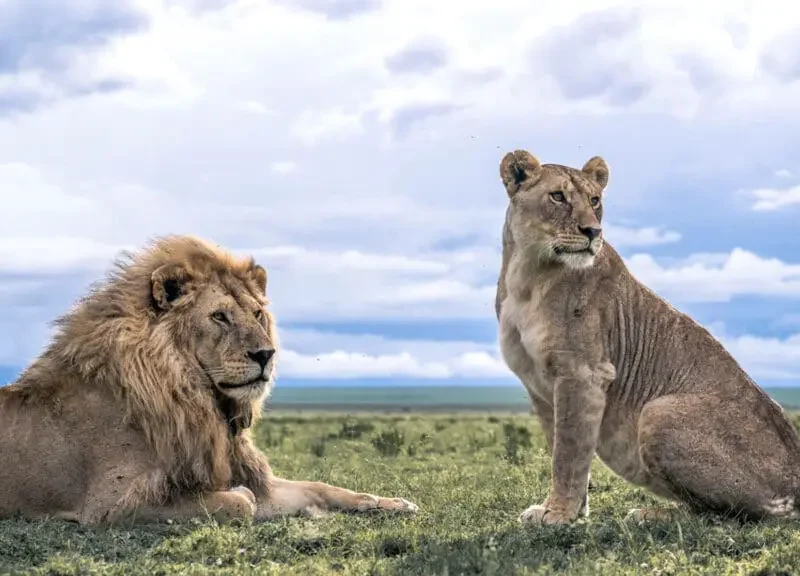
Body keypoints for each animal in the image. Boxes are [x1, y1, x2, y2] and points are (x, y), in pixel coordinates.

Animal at [0, 235, 418, 525]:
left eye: (257, 313)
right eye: (219, 316)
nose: (266, 354)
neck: (200, 399)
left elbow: (322, 488)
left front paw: (391, 503)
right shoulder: (109, 504)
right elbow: (240, 502)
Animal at [495, 149, 800, 525]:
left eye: (594, 201)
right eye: (557, 197)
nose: (592, 231)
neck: (528, 273)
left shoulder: (583, 373)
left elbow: (567, 454)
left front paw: (559, 515)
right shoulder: (539, 385)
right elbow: (562, 448)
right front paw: (570, 511)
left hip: (658, 412)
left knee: (731, 514)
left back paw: (652, 514)